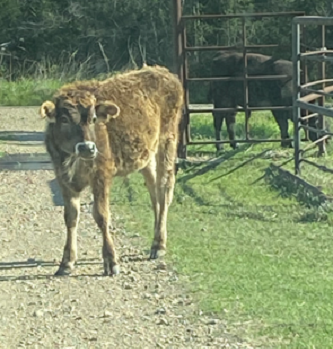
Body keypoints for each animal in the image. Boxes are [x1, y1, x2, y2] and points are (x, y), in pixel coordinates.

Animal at [40, 65, 184, 276]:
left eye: (93, 119)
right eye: (64, 119)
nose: (87, 148)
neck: (74, 159)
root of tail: (162, 72)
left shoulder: (101, 175)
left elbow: (101, 215)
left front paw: (111, 260)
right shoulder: (63, 178)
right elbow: (71, 217)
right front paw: (67, 261)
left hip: (167, 142)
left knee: (165, 190)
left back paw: (159, 245)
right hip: (146, 156)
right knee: (154, 192)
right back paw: (156, 239)